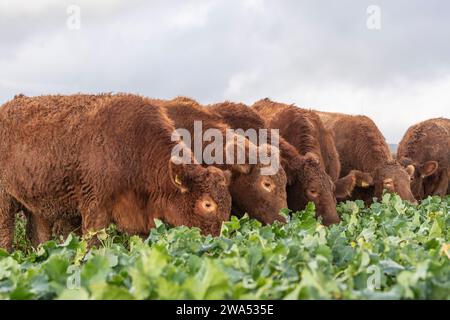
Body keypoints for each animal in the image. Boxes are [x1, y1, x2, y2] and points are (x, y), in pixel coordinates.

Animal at [0, 94, 232, 251]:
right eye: (207, 204)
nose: (219, 243)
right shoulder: (94, 208)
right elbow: (92, 245)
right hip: (5, 202)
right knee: (6, 236)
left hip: (37, 208)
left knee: (39, 238)